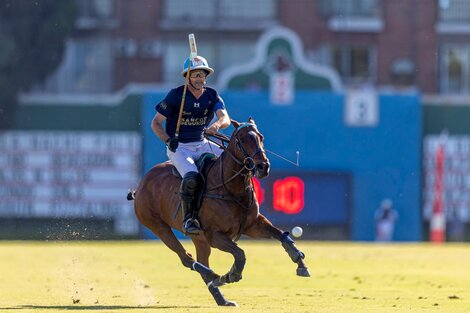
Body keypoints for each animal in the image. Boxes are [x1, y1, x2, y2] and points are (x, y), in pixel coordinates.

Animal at [130, 117, 310, 304]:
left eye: (261, 137)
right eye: (242, 140)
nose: (263, 167)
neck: (232, 189)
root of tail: (142, 183)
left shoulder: (252, 225)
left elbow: (281, 235)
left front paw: (300, 263)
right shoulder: (215, 235)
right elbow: (240, 253)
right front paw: (232, 274)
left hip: (199, 239)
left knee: (201, 261)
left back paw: (222, 298)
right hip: (158, 226)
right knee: (186, 258)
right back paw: (215, 276)